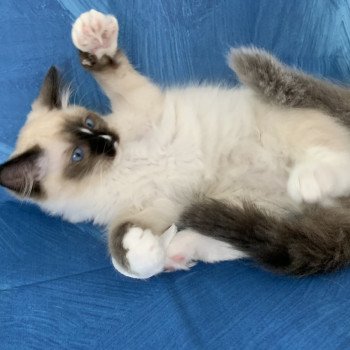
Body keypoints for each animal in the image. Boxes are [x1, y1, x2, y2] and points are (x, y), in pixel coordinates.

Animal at [2, 8, 350, 278]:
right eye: (78, 155)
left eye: (90, 123)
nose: (109, 141)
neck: (112, 172)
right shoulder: (155, 207)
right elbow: (120, 252)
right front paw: (143, 252)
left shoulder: (143, 107)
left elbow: (113, 75)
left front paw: (93, 37)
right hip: (249, 204)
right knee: (244, 237)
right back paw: (178, 251)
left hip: (297, 134)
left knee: (338, 163)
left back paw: (309, 177)